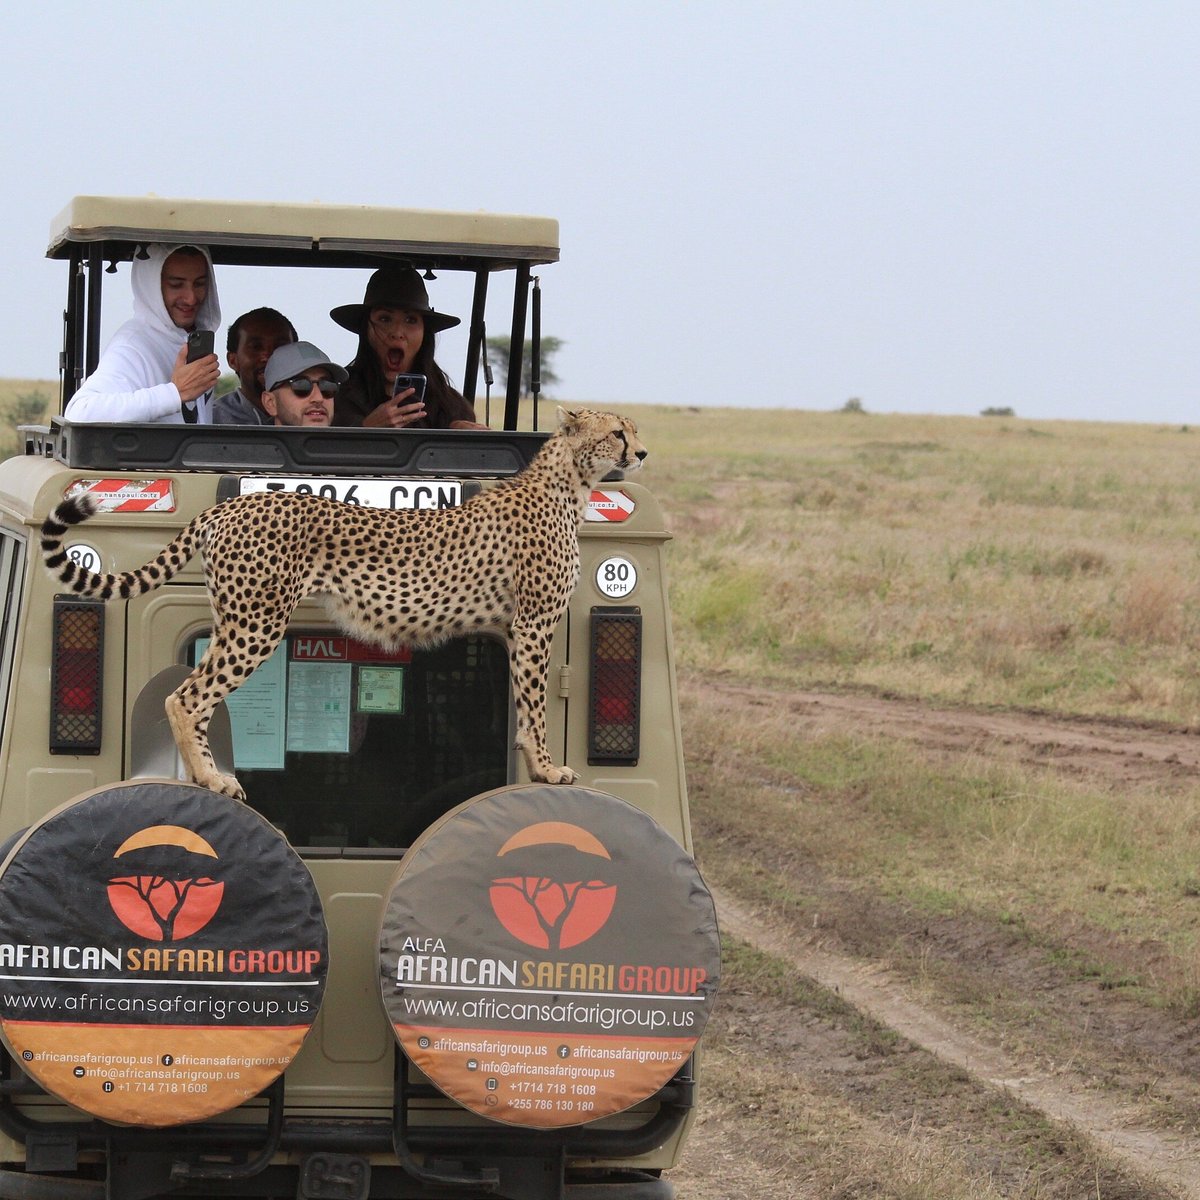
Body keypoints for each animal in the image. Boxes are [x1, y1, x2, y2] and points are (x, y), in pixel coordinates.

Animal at [39, 408, 648, 801]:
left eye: (635, 429)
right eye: (617, 432)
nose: (641, 452)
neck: (569, 482)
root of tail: (230, 506)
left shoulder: (523, 627)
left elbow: (525, 707)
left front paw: (536, 769)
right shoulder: (535, 623)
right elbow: (536, 707)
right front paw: (547, 770)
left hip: (232, 618)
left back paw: (205, 776)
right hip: (256, 623)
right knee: (185, 696)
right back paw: (213, 780)